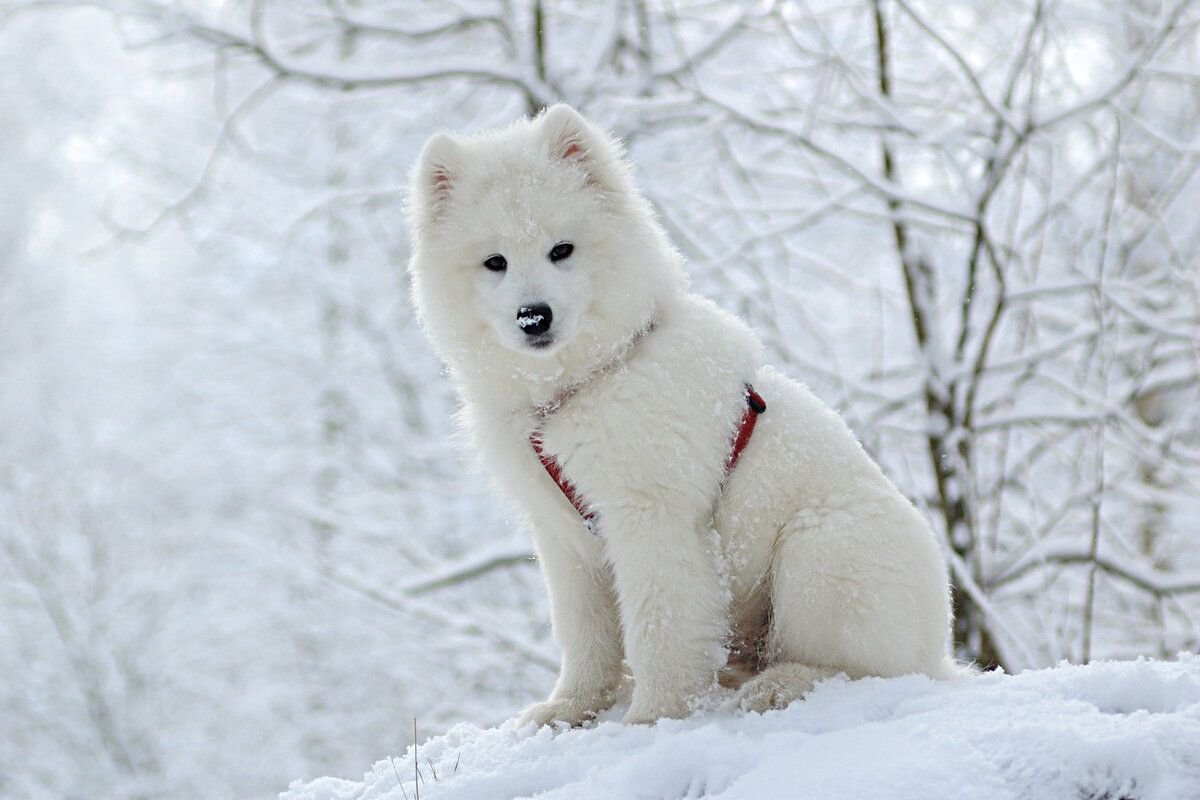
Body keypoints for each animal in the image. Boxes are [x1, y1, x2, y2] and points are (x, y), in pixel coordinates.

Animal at [408, 104, 960, 724]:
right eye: (494, 262)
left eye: (561, 250)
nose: (534, 316)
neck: (583, 383)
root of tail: (941, 652)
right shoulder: (563, 537)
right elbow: (585, 634)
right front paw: (570, 709)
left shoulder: (652, 518)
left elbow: (659, 626)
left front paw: (654, 717)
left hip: (821, 548)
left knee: (863, 667)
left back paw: (779, 686)